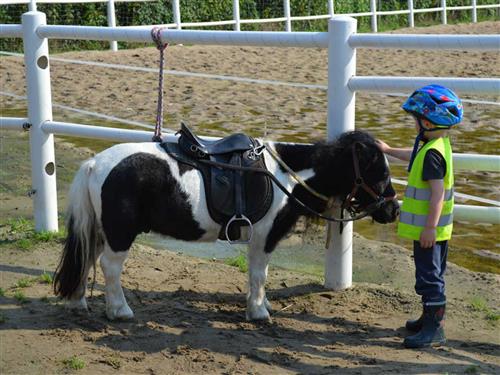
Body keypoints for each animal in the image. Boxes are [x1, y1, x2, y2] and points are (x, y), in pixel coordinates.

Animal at [53, 129, 398, 320]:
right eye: (380, 174)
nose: (393, 209)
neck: (285, 177)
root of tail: (94, 163)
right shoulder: (264, 237)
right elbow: (259, 274)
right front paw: (258, 312)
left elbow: (261, 275)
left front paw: (262, 304)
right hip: (120, 234)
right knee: (109, 267)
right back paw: (119, 310)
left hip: (102, 231)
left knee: (87, 257)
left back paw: (76, 302)